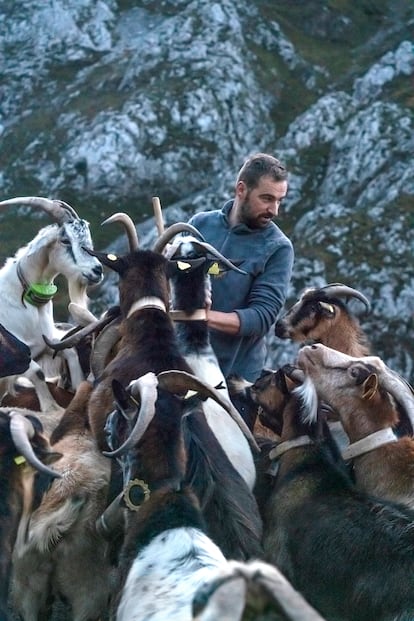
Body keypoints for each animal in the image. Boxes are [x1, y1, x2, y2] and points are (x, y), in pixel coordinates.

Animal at [0, 197, 103, 412]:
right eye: (65, 240)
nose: (97, 270)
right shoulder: (17, 357)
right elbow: (37, 372)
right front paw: (51, 407)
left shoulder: (45, 343)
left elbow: (69, 351)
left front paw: (76, 386)